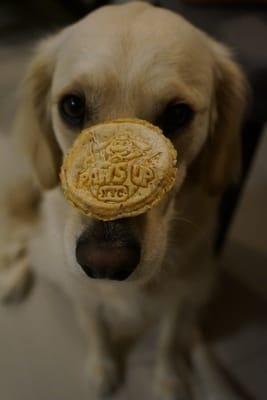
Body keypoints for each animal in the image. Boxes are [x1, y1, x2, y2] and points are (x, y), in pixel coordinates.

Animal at [0, 1, 248, 398]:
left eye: (178, 113)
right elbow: (96, 330)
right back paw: (12, 279)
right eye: (73, 106)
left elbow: (168, 341)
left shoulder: (182, 293)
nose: (104, 264)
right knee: (31, 244)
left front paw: (170, 380)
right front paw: (102, 369)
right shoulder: (83, 291)